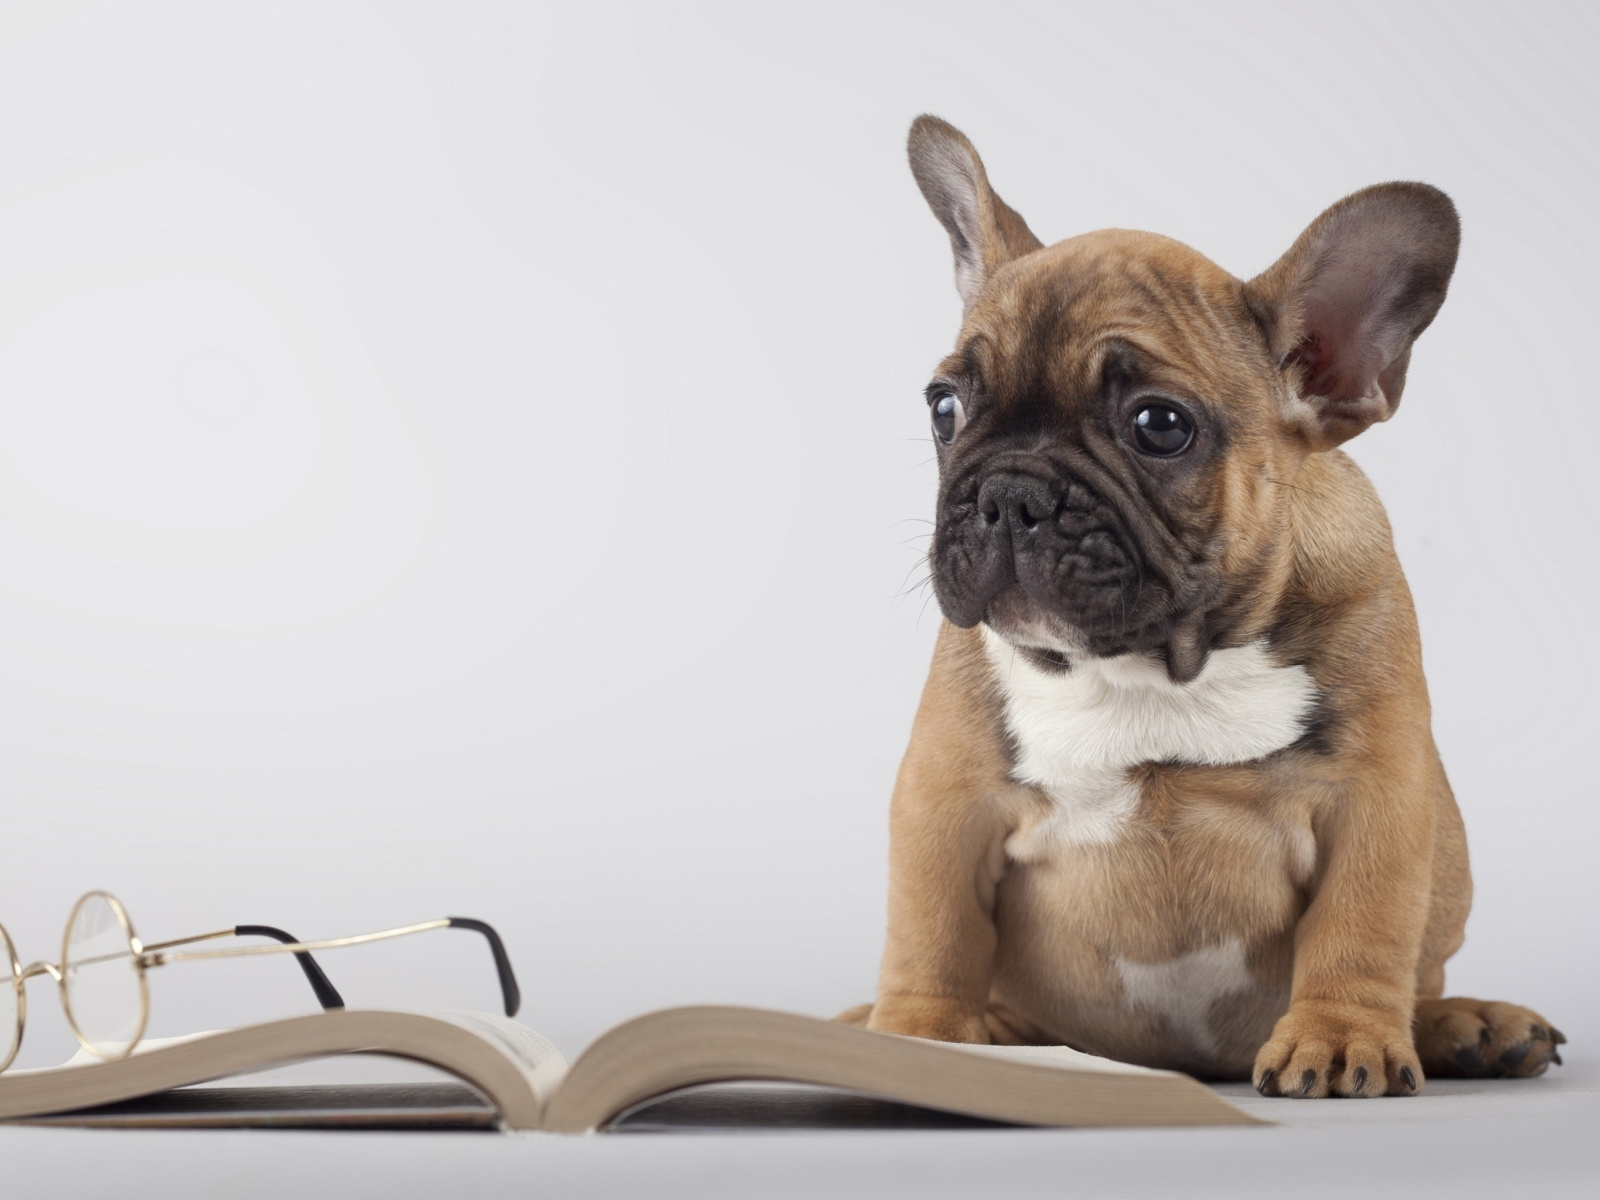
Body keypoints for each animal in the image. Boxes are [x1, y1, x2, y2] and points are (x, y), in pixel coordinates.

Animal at [851, 115, 1561, 1100]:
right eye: (945, 407)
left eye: (1160, 426)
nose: (1008, 493)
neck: (1156, 664)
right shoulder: (944, 800)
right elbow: (933, 930)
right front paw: (920, 1040)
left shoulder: (1378, 800)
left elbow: (1361, 927)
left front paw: (1339, 1036)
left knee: (1416, 974)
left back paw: (1468, 1024)